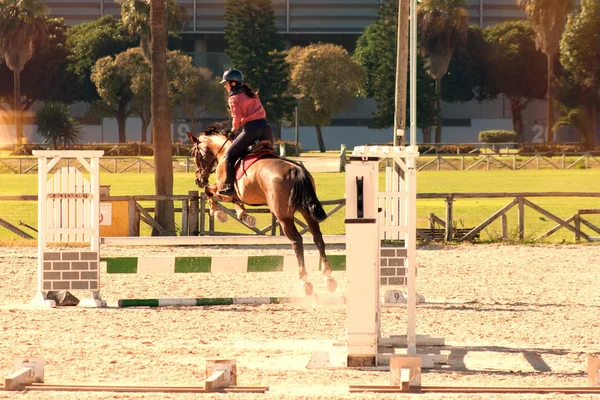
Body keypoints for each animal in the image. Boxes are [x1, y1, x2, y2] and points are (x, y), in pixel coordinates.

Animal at [186, 123, 338, 296]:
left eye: (195, 154)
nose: (198, 180)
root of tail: (296, 170)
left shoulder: (222, 190)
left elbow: (210, 192)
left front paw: (218, 213)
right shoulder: (235, 194)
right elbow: (235, 201)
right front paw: (245, 216)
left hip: (283, 216)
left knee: (296, 240)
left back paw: (305, 281)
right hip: (306, 211)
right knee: (318, 238)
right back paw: (329, 278)